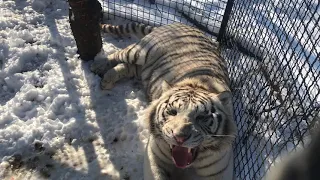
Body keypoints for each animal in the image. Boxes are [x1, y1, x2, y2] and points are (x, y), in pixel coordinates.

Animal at [91, 22, 236, 180]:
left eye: (202, 117)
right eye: (172, 112)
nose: (179, 138)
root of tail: (177, 23)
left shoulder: (220, 170)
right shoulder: (154, 155)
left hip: (144, 69)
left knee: (128, 67)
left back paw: (107, 79)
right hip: (139, 51)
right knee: (118, 55)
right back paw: (99, 66)